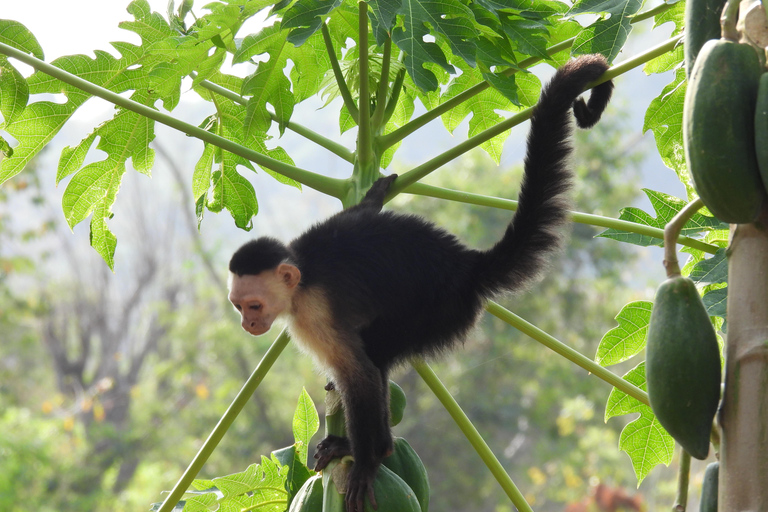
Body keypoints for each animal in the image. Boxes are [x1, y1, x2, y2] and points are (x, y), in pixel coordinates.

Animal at [228, 54, 614, 512]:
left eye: (253, 306)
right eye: (238, 307)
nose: (247, 325)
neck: (300, 280)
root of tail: (467, 266)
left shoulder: (313, 314)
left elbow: (358, 373)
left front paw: (367, 461)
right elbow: (361, 213)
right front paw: (376, 191)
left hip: (439, 311)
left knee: (376, 352)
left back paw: (371, 450)